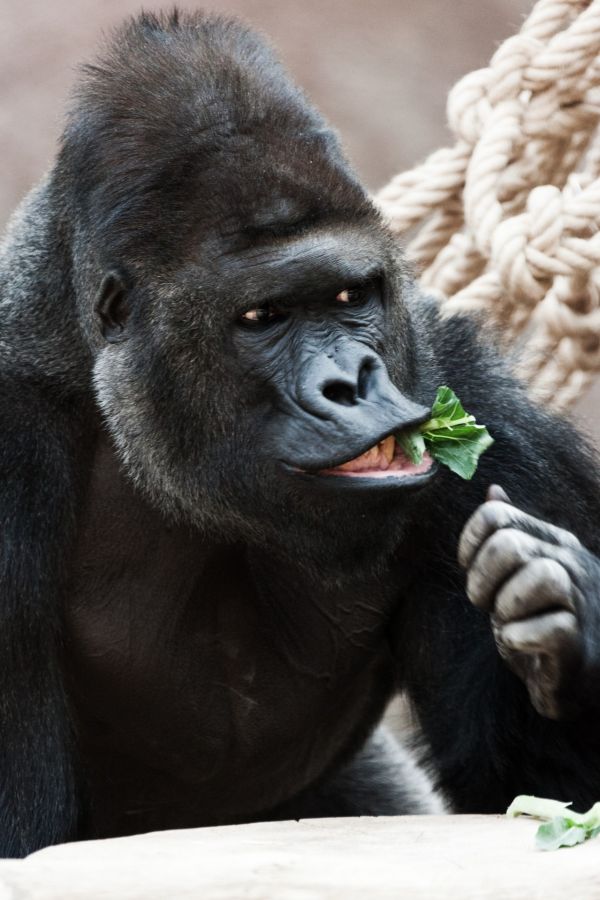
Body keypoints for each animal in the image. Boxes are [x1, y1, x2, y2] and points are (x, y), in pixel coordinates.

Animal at [1, 8, 600, 856]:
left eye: (352, 295)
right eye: (264, 316)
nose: (352, 383)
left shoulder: (477, 409)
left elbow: (531, 790)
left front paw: (562, 605)